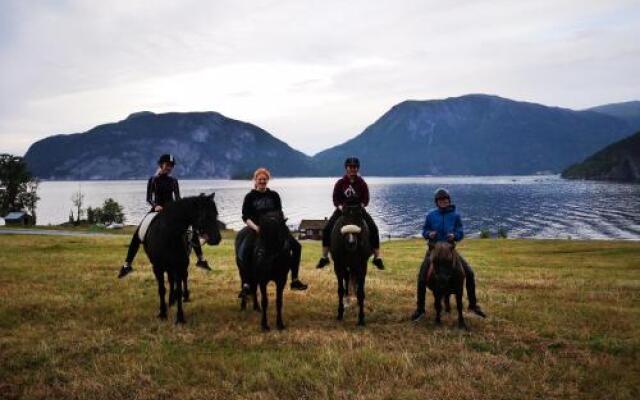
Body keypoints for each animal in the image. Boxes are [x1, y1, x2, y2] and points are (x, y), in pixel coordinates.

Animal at [142, 194, 222, 324]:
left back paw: (184, 297)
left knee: (182, 278)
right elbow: (161, 289)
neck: (168, 235)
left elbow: (179, 289)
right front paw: (162, 313)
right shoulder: (158, 267)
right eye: (205, 215)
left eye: (216, 213)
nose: (217, 238)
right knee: (171, 280)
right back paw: (170, 301)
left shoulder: (179, 265)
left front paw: (180, 317)